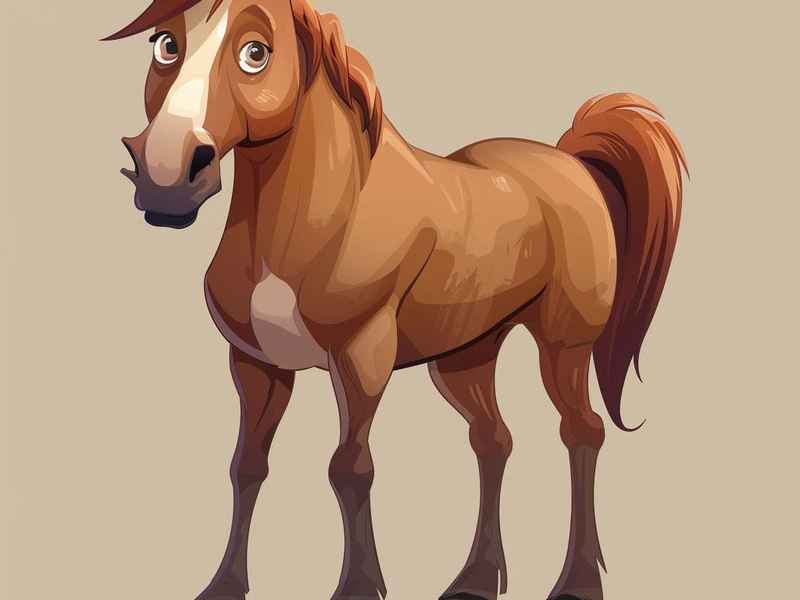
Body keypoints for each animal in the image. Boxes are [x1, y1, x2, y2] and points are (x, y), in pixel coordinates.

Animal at [105, 1, 687, 599]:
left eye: (256, 52)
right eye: (165, 44)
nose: (166, 181)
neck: (319, 218)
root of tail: (571, 161)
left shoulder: (362, 357)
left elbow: (349, 468)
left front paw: (359, 586)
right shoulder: (256, 364)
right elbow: (247, 465)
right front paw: (224, 584)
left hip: (564, 346)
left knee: (582, 432)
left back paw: (578, 580)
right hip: (465, 356)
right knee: (493, 440)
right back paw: (476, 578)